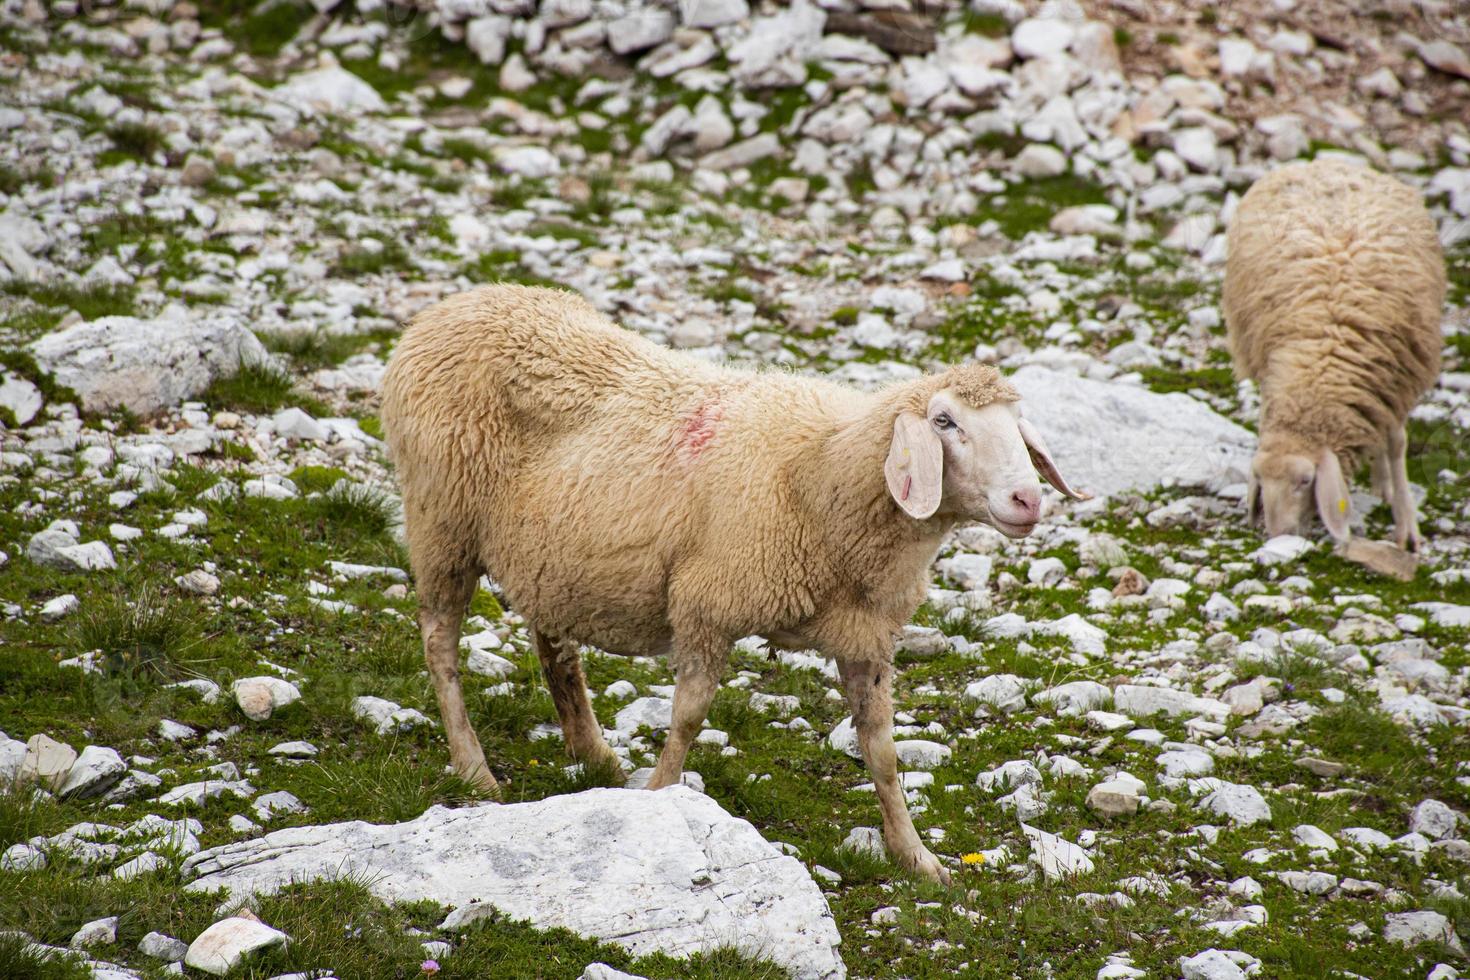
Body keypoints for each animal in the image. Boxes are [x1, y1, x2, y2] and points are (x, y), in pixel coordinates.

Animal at [382, 282, 1093, 881]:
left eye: (1016, 427)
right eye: (944, 422)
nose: (1028, 499)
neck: (822, 477)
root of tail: (455, 306)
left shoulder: (866, 636)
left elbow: (883, 750)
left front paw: (915, 856)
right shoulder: (707, 604)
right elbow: (688, 718)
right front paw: (661, 799)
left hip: (548, 553)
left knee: (554, 647)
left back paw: (593, 754)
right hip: (443, 521)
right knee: (439, 643)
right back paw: (475, 769)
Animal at [1217, 159, 1446, 552]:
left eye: (1306, 481)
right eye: (1261, 481)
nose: (1279, 536)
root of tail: (1325, 161)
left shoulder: (1395, 380)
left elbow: (1397, 445)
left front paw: (1407, 528)